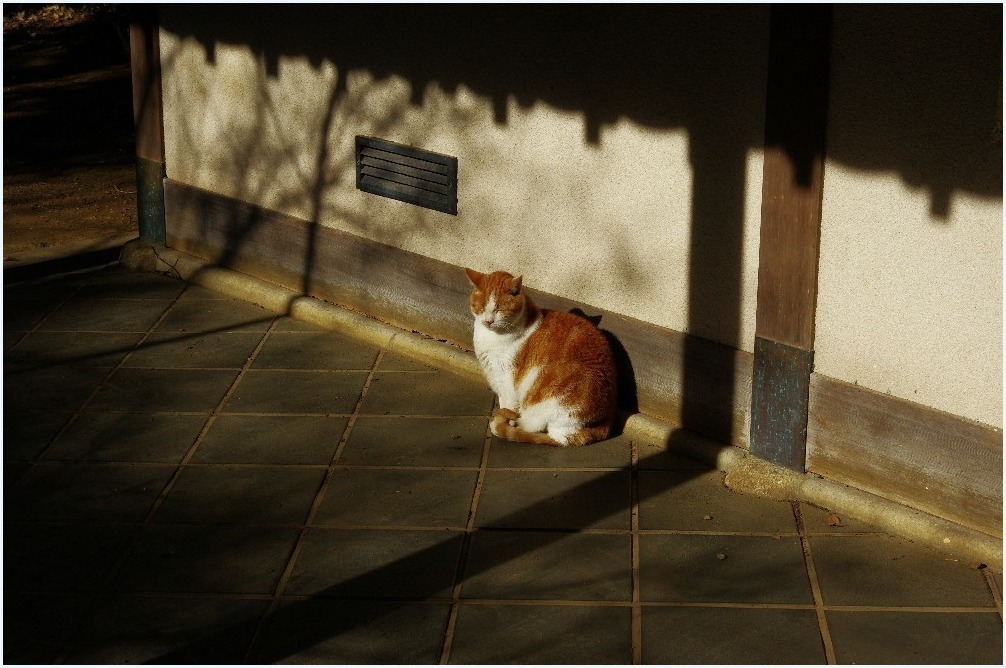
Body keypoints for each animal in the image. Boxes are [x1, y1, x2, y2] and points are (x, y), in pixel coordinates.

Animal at [464, 267, 619, 448]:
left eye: (498, 310)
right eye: (481, 308)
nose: (488, 321)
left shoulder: (506, 380)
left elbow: (508, 406)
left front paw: (507, 421)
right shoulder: (496, 379)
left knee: (542, 432)